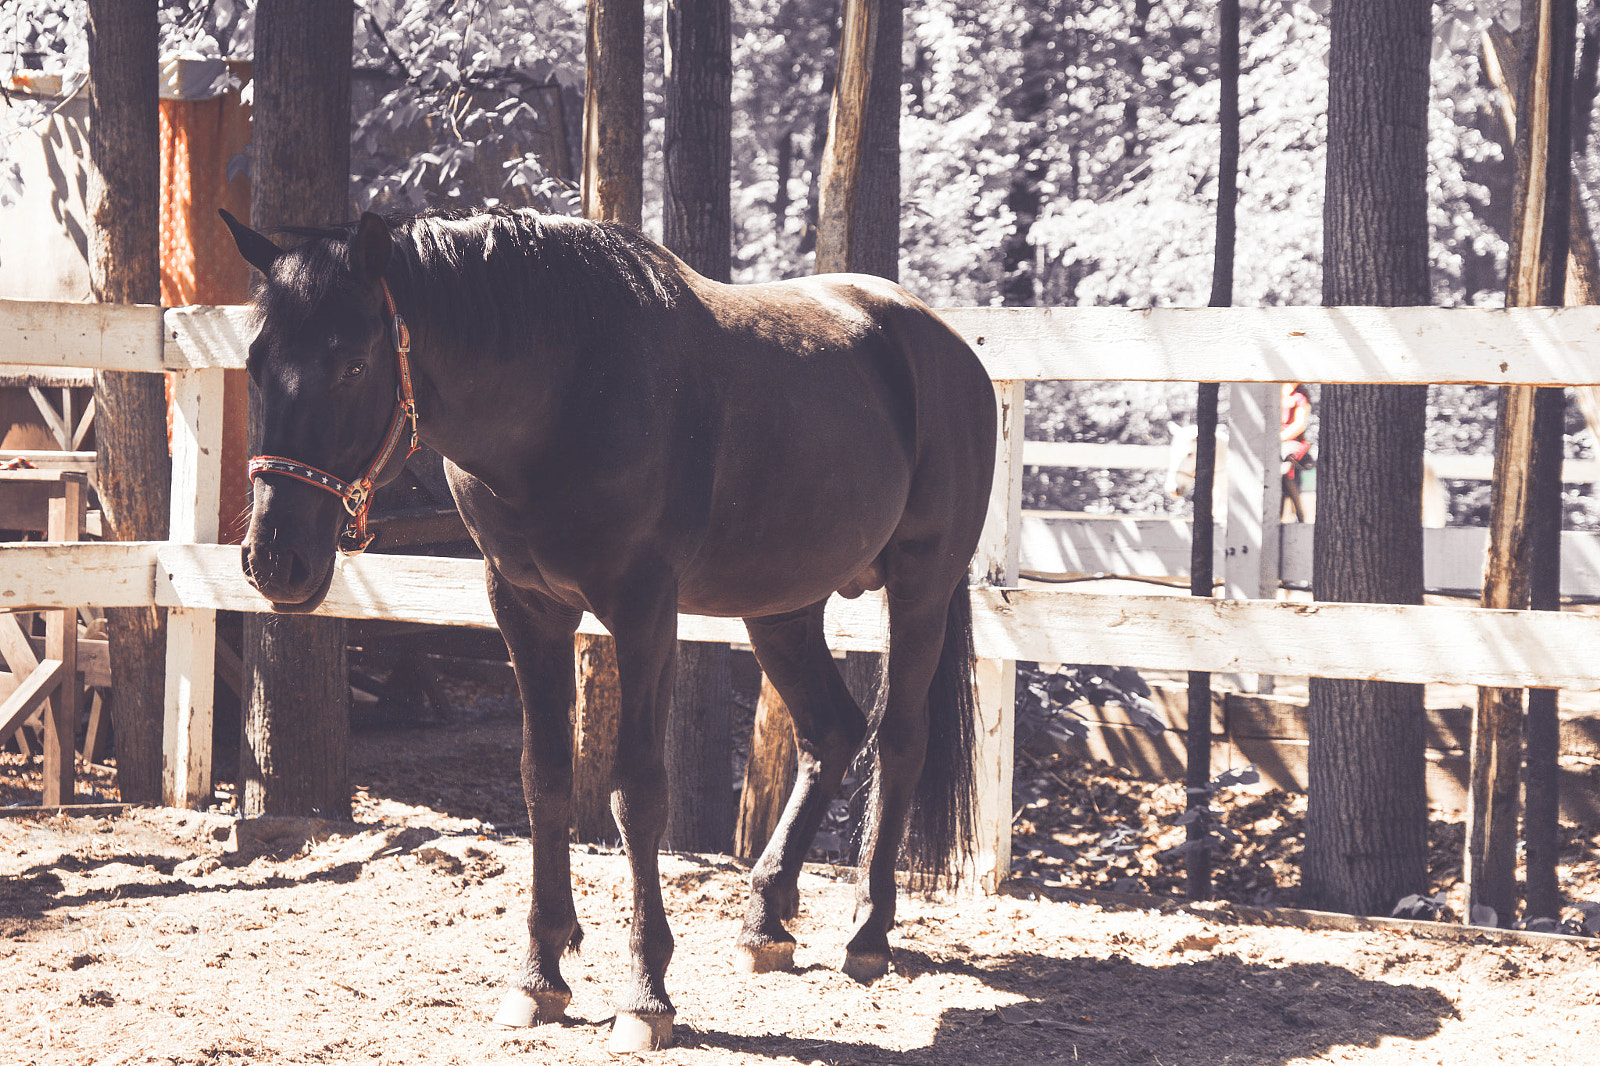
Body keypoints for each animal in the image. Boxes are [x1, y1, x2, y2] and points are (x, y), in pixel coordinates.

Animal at [221, 206, 997, 1052]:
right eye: (255, 363)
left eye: (353, 366)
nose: (276, 559)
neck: (563, 393)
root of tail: (944, 343)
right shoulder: (524, 607)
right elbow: (546, 777)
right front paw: (540, 976)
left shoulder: (643, 609)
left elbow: (637, 792)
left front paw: (645, 992)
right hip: (781, 607)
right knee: (831, 733)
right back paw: (765, 921)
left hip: (921, 588)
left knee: (899, 741)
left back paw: (868, 934)